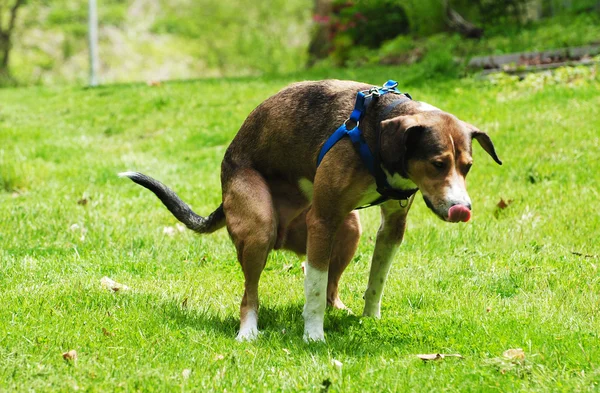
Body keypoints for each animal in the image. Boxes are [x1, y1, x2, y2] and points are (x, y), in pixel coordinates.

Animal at [118, 79, 502, 340]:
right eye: (438, 164)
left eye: (467, 167)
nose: (462, 208)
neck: (379, 133)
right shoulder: (323, 220)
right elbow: (313, 289)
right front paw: (314, 336)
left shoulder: (392, 226)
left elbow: (374, 281)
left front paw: (370, 319)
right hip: (261, 227)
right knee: (250, 297)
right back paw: (248, 331)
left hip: (348, 230)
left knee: (332, 288)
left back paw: (340, 310)